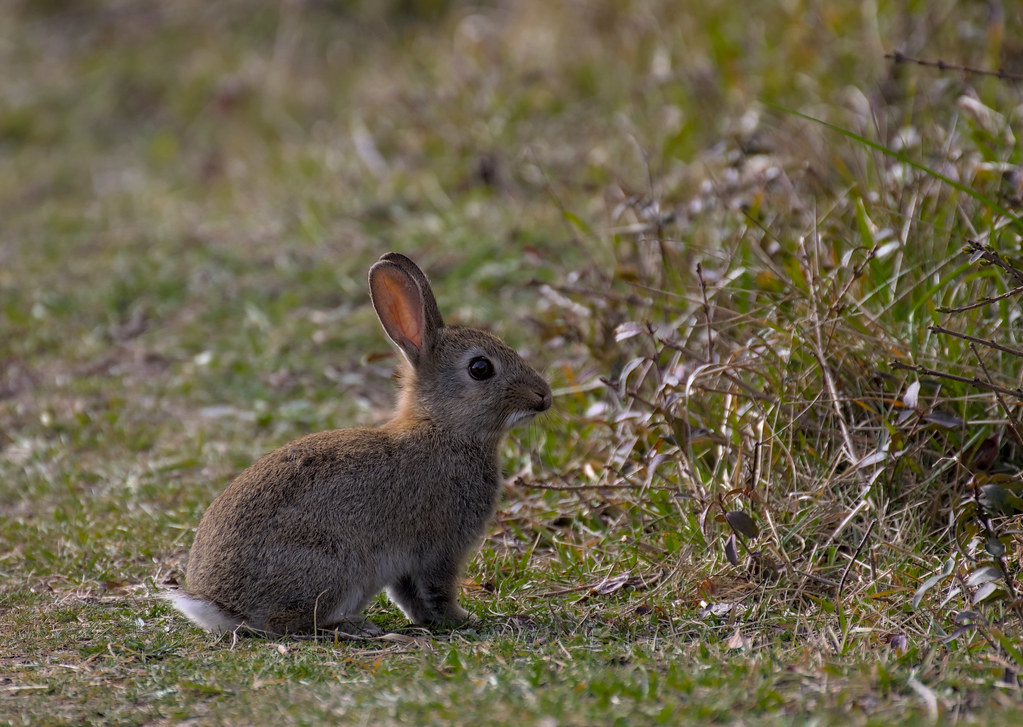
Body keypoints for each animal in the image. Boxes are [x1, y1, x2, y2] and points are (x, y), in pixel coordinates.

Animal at [165, 252, 552, 635]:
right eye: (480, 368)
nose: (544, 396)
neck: (443, 428)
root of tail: (220, 606)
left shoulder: (406, 563)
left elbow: (409, 595)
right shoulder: (440, 548)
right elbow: (437, 591)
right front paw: (463, 619)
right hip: (336, 564)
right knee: (288, 621)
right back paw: (355, 626)